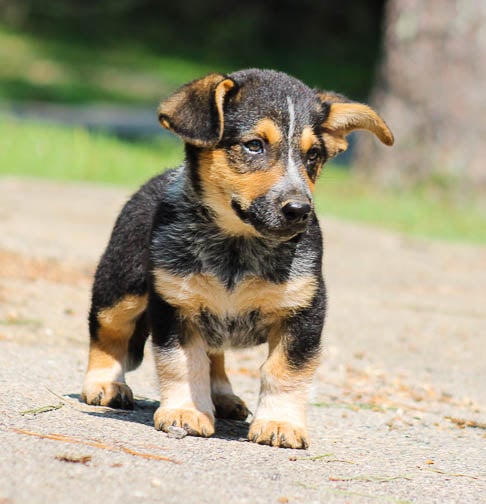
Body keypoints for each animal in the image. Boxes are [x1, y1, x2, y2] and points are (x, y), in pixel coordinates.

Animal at [81, 68, 392, 448]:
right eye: (254, 145)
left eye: (314, 155)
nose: (299, 210)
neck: (237, 248)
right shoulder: (174, 306)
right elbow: (182, 364)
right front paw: (186, 411)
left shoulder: (304, 310)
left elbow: (286, 370)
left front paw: (280, 423)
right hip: (121, 287)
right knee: (107, 332)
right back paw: (105, 384)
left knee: (214, 353)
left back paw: (222, 396)